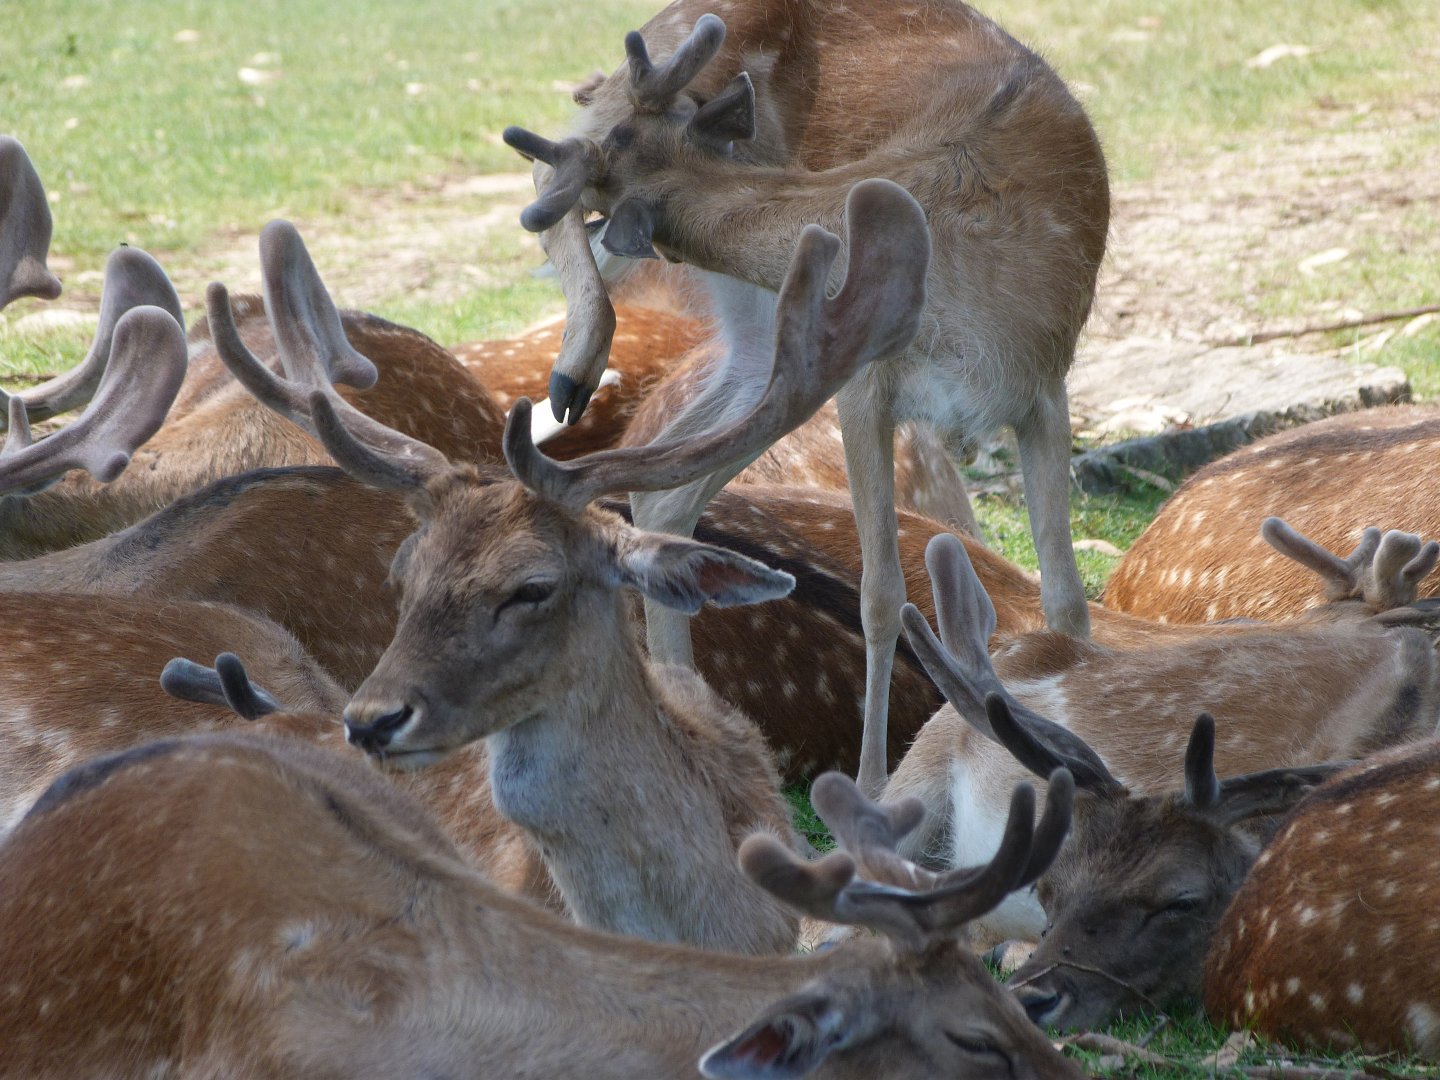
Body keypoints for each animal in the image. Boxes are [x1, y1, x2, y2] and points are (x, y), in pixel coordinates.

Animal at [502, 0, 1110, 796]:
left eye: (617, 162)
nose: (578, 169)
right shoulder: (863, 384)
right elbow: (881, 595)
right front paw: (876, 781)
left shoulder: (1042, 387)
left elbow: (1066, 597)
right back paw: (576, 361)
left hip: (769, 338)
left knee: (667, 494)